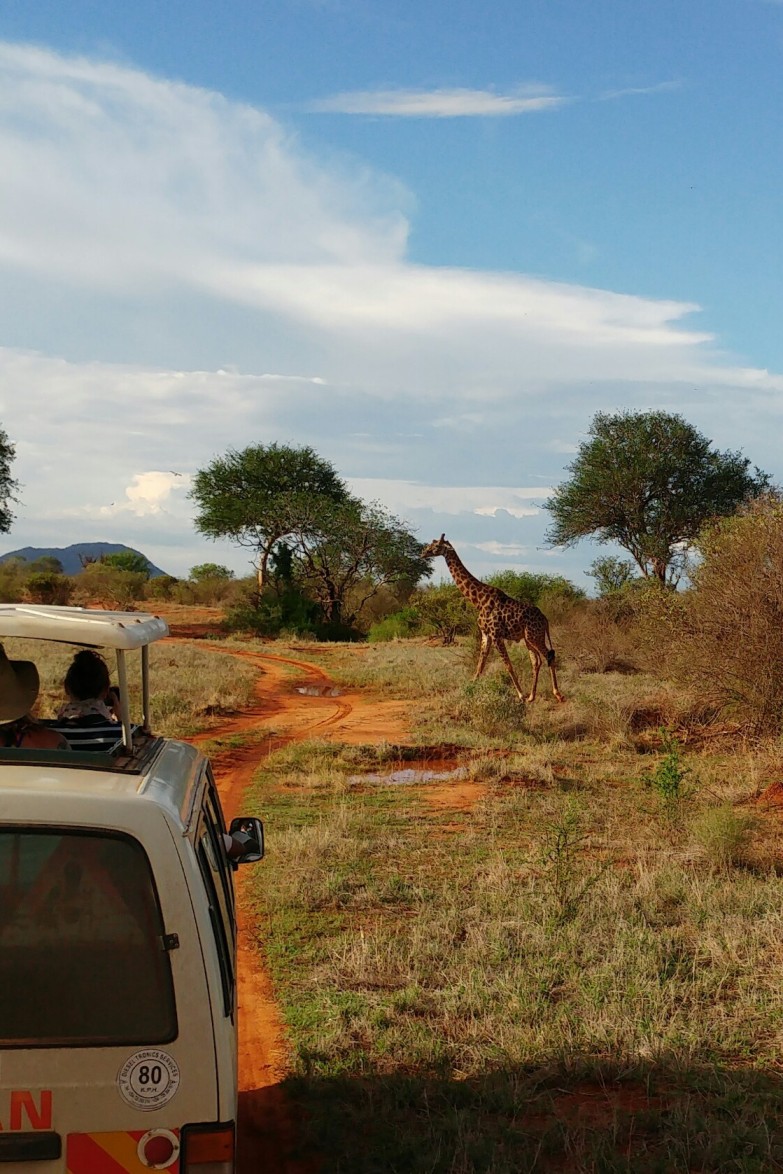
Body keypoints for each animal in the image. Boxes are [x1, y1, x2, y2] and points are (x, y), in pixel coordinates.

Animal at [421, 535, 565, 703]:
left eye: (436, 546)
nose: (423, 553)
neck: (478, 600)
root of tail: (545, 619)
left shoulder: (496, 635)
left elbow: (507, 665)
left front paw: (520, 695)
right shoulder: (486, 634)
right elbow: (480, 664)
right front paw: (471, 687)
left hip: (534, 636)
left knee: (549, 655)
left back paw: (557, 694)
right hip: (528, 638)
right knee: (537, 661)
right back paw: (532, 697)